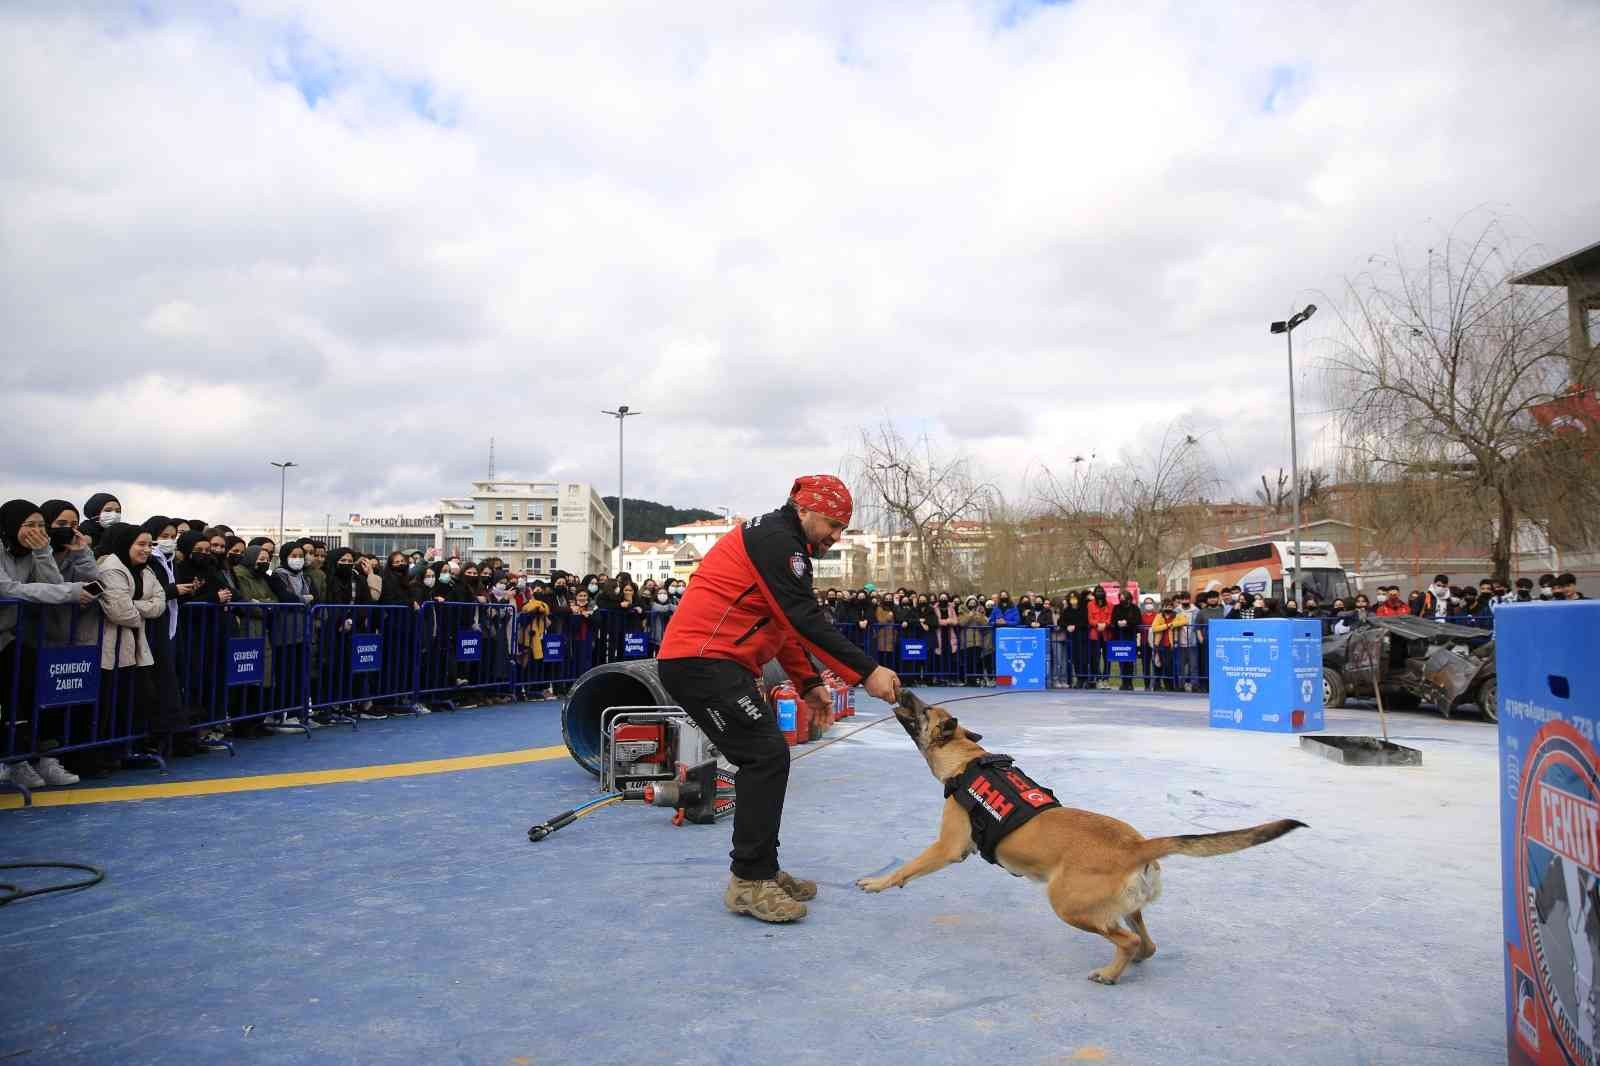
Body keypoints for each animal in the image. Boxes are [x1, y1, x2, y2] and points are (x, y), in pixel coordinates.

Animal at [857, 688, 1305, 979]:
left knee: (1126, 941)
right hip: (1123, 907)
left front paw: (878, 883)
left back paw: (1110, 973)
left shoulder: (947, 847)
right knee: (1145, 942)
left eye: (924, 709)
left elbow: (907, 867)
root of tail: (1136, 845)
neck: (967, 760)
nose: (903, 687)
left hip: (1067, 905)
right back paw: (1131, 961)